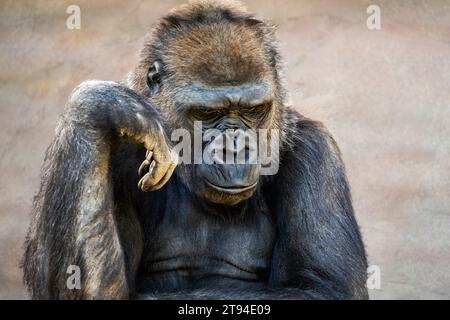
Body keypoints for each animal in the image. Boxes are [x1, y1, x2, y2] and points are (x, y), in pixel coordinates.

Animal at [22, 0, 370, 300]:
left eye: (254, 110)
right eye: (207, 114)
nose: (235, 149)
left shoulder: (315, 151)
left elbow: (320, 288)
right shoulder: (116, 156)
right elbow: (94, 289)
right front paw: (105, 104)